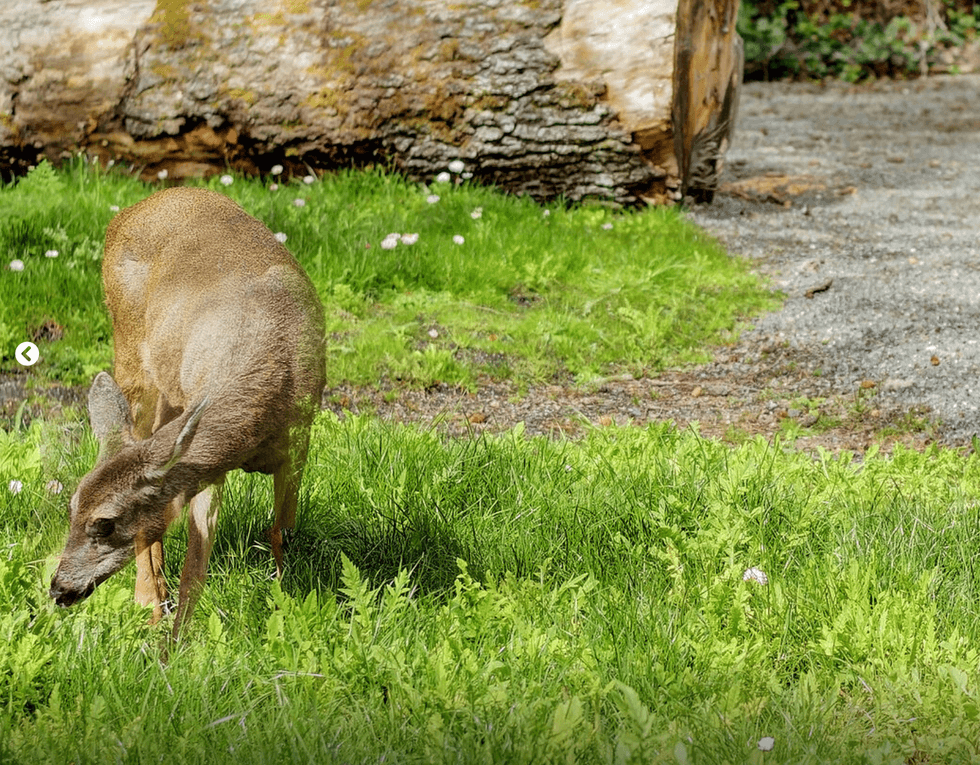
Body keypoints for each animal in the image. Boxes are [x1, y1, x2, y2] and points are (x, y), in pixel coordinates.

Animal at [49, 186, 326, 638]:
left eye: (104, 523)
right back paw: (148, 602)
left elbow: (281, 530)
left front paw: (282, 601)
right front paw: (177, 637)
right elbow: (195, 565)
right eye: (70, 509)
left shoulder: (300, 436)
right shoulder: (207, 469)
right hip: (131, 358)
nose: (58, 588)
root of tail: (133, 207)